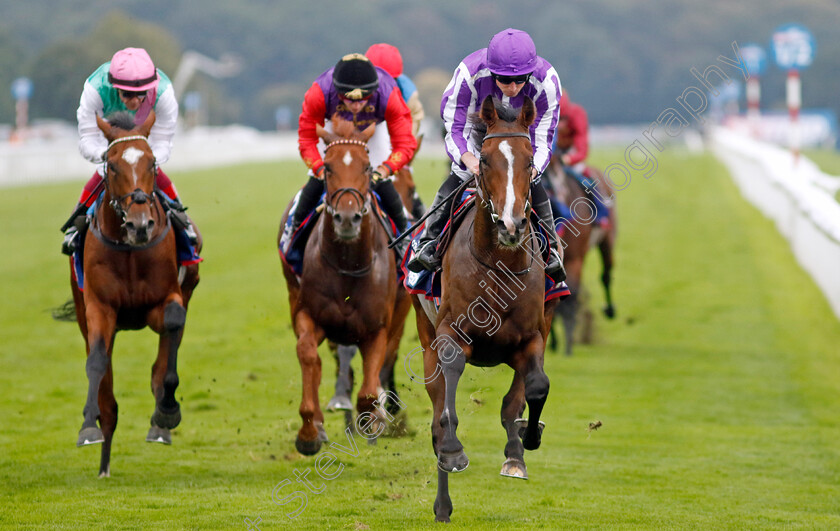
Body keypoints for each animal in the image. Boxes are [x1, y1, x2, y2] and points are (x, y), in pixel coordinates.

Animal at [67, 112, 202, 478]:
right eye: (111, 165)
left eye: (152, 162)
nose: (140, 225)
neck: (129, 249)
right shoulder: (99, 308)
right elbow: (96, 361)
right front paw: (88, 427)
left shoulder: (163, 300)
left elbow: (171, 330)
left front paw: (167, 411)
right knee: (104, 376)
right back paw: (104, 461)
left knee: (169, 346)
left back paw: (160, 421)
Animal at [278, 115, 400, 454]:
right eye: (329, 167)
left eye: (367, 167)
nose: (347, 218)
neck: (348, 265)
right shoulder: (307, 314)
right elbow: (308, 356)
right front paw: (309, 431)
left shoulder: (378, 328)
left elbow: (369, 390)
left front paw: (373, 420)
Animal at [412, 96, 556, 524]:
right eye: (487, 160)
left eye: (529, 159)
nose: (511, 224)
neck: (498, 264)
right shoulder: (449, 334)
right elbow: (447, 402)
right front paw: (454, 450)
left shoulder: (533, 336)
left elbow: (534, 387)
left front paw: (525, 441)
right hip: (424, 336)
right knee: (436, 413)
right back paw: (443, 502)